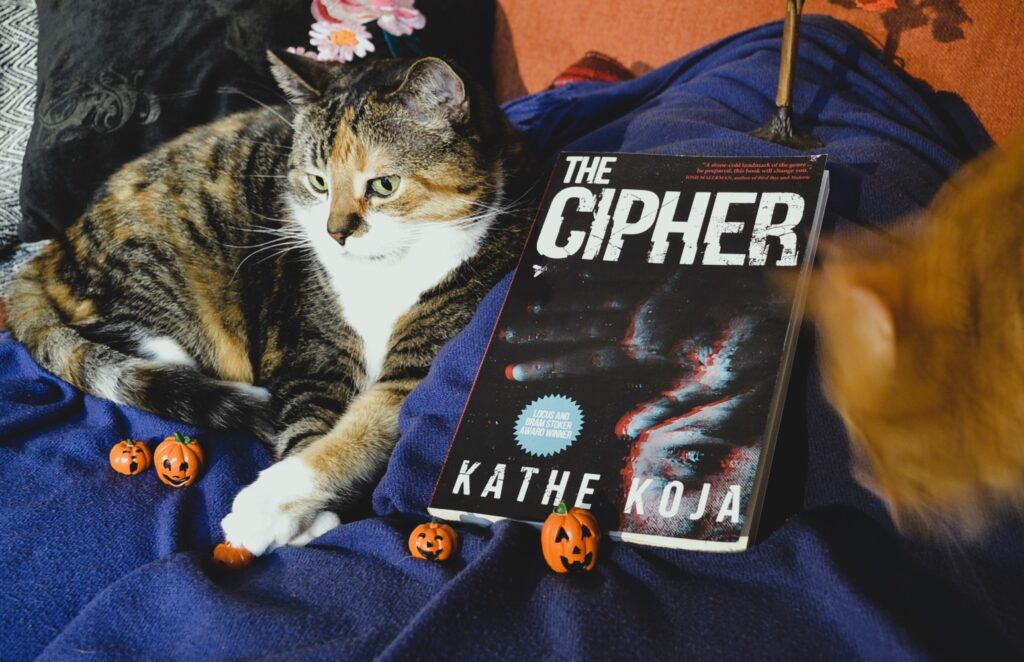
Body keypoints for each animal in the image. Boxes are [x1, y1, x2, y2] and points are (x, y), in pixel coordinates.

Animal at [8, 54, 532, 557]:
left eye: (384, 185)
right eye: (318, 183)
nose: (335, 233)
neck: (385, 272)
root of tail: (55, 244)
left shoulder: (419, 364)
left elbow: (357, 431)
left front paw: (266, 506)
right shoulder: (312, 350)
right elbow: (307, 419)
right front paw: (302, 515)